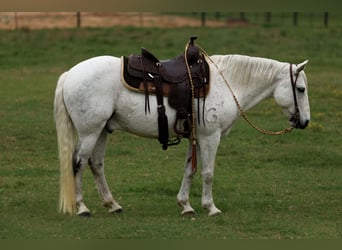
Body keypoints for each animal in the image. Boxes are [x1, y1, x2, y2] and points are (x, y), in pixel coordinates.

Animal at [52, 53, 310, 217]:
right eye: (301, 89)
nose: (305, 121)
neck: (226, 83)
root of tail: (70, 74)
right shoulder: (210, 137)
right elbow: (207, 173)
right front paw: (210, 208)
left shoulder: (195, 138)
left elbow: (190, 170)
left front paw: (186, 205)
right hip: (90, 131)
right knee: (78, 163)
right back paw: (82, 208)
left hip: (102, 130)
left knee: (96, 164)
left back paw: (112, 205)